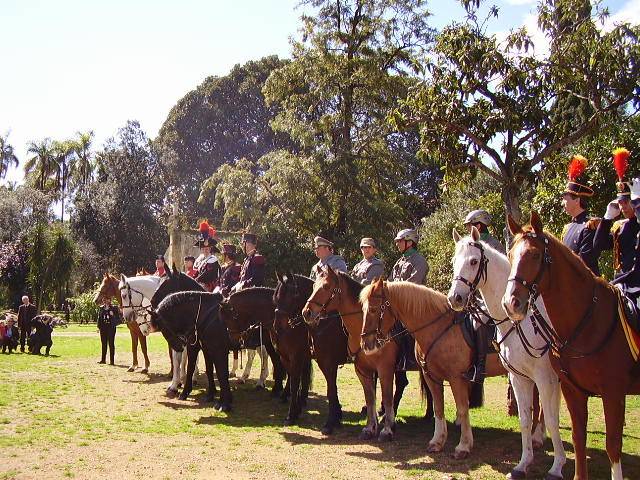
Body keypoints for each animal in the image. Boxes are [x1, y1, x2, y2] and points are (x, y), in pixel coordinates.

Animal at [270, 272, 312, 426]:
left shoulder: (297, 357)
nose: (278, 326)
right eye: (276, 297)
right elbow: (293, 379)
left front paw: (291, 415)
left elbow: (294, 383)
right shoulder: (285, 357)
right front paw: (295, 410)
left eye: (293, 295)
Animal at [302, 268, 432, 440]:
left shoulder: (384, 369)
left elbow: (386, 397)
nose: (307, 312)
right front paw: (370, 428)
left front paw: (387, 430)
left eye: (326, 286)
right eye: (313, 286)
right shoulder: (361, 369)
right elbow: (370, 397)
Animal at [360, 280, 504, 460]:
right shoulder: (432, 377)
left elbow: (463, 409)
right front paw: (437, 442)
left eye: (373, 309)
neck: (438, 328)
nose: (366, 343)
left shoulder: (457, 379)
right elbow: (438, 407)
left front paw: (463, 446)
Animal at [448, 230, 568, 480]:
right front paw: (524, 463)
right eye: (454, 261)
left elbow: (552, 419)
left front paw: (557, 466)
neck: (519, 322)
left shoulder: (543, 378)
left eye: (474, 261)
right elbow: (525, 419)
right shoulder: (519, 377)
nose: (455, 298)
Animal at [504, 214, 640, 480]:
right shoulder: (570, 389)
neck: (587, 323)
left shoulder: (612, 392)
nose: (511, 302)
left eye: (535, 255)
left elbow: (613, 444)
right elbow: (578, 437)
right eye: (511, 254)